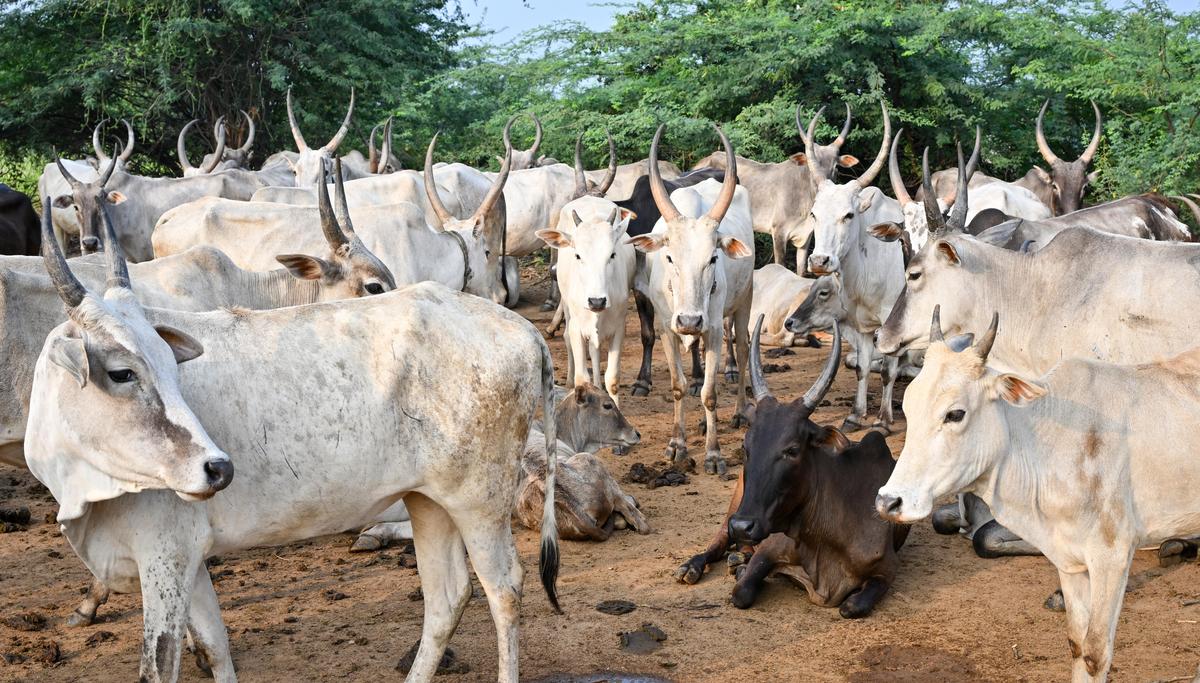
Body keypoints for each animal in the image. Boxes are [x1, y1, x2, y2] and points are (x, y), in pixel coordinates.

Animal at [25, 199, 561, 683]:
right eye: (121, 373)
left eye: (169, 364)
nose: (218, 468)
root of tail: (522, 328)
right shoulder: (188, 562)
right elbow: (216, 646)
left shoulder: (165, 557)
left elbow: (158, 667)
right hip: (428, 500)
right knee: (447, 597)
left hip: (479, 502)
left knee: (505, 590)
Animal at [626, 124, 754, 476]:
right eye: (669, 257)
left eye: (713, 258)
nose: (689, 320)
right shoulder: (666, 328)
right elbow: (678, 386)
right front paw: (676, 445)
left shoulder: (712, 329)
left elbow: (710, 393)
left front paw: (713, 454)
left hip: (745, 298)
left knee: (742, 347)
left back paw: (740, 412)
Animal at [675, 318, 908, 616]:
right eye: (746, 447)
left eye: (792, 450)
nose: (743, 526)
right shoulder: (770, 547)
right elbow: (741, 593)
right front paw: (740, 572)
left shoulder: (887, 569)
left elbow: (851, 606)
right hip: (734, 506)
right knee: (718, 541)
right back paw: (693, 566)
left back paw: (737, 558)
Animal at [805, 101, 905, 432]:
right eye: (813, 213)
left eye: (848, 215)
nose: (819, 261)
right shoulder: (862, 324)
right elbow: (861, 366)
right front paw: (856, 414)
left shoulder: (892, 323)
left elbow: (888, 370)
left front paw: (883, 420)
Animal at [877, 309, 1200, 682]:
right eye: (907, 407)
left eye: (955, 414)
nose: (889, 501)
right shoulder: (1069, 561)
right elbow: (1076, 643)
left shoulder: (1113, 556)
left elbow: (1095, 653)